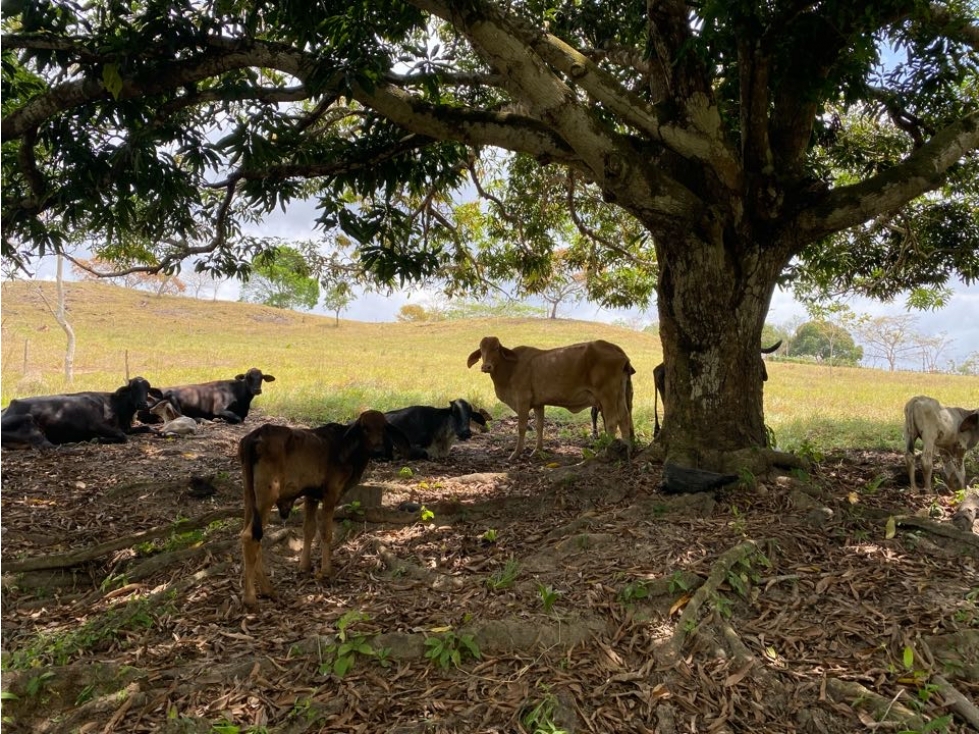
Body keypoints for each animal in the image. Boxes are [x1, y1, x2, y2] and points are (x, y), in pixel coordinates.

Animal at [1, 380, 161, 448]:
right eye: (133, 388)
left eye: (147, 388)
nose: (143, 404)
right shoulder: (96, 424)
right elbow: (122, 436)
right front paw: (97, 439)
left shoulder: (126, 427)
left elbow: (146, 427)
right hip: (29, 422)